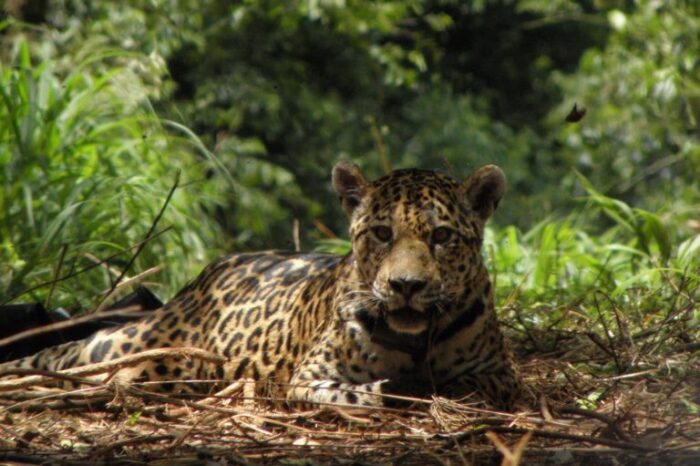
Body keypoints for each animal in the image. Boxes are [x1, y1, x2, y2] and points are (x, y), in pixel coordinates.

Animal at [0, 163, 525, 410]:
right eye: (382, 234)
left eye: (441, 237)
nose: (406, 285)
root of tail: (202, 276)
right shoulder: (310, 378)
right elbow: (371, 392)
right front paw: (402, 386)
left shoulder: (501, 374)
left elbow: (471, 385)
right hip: (126, 342)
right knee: (61, 356)